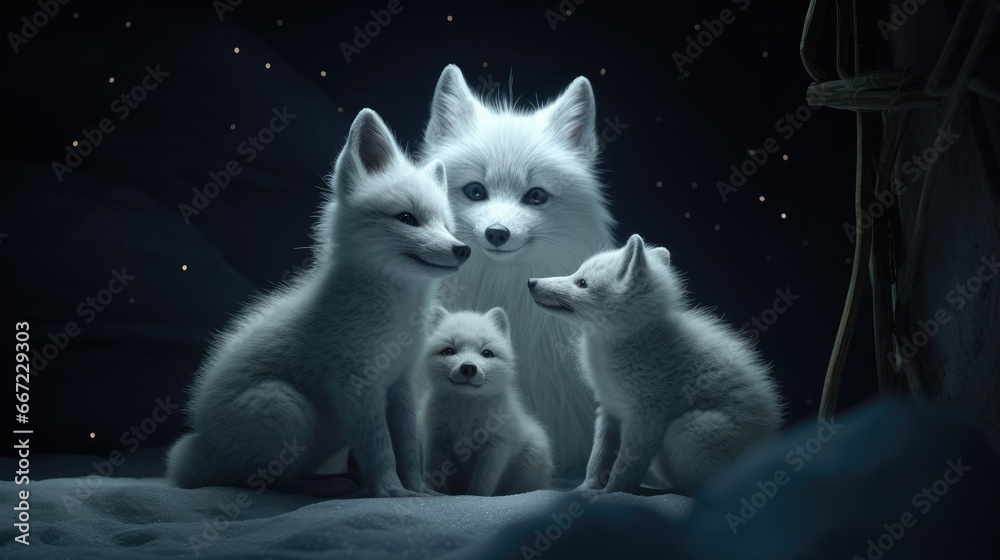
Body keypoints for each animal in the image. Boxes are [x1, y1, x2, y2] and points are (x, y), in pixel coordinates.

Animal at [165, 108, 471, 498]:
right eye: (407, 218)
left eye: (446, 226)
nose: (463, 249)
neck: (395, 309)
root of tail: (191, 455)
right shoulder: (356, 384)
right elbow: (380, 448)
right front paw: (391, 492)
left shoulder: (400, 385)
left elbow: (406, 447)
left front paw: (420, 491)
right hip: (285, 407)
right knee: (257, 480)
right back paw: (323, 488)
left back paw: (331, 481)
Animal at [417, 306, 554, 496]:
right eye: (449, 351)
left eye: (487, 353)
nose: (468, 368)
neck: (465, 415)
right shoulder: (436, 438)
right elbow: (435, 474)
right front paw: (440, 495)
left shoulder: (496, 444)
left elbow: (483, 484)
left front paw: (474, 497)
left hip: (535, 451)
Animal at [528, 234, 783, 495]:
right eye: (577, 274)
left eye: (581, 283)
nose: (531, 281)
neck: (627, 338)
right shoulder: (610, 409)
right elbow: (598, 457)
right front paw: (584, 490)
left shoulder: (647, 417)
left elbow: (625, 465)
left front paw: (610, 493)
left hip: (687, 429)